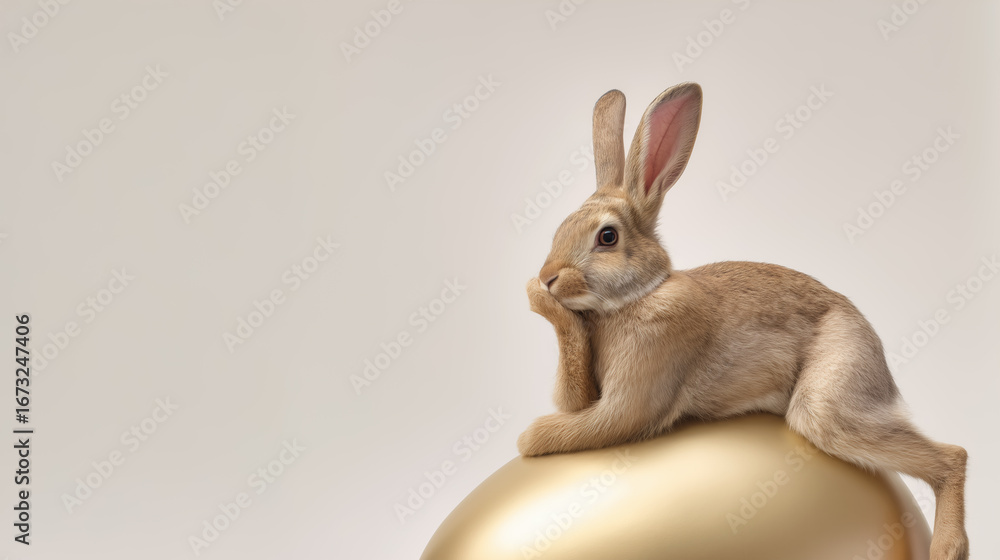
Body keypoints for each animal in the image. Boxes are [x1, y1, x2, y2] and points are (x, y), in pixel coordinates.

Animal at [516, 82, 969, 560]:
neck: (638, 295)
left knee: (952, 456)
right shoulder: (586, 390)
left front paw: (529, 438)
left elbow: (580, 427)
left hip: (829, 402)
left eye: (607, 237)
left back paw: (948, 547)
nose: (547, 278)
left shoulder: (633, 403)